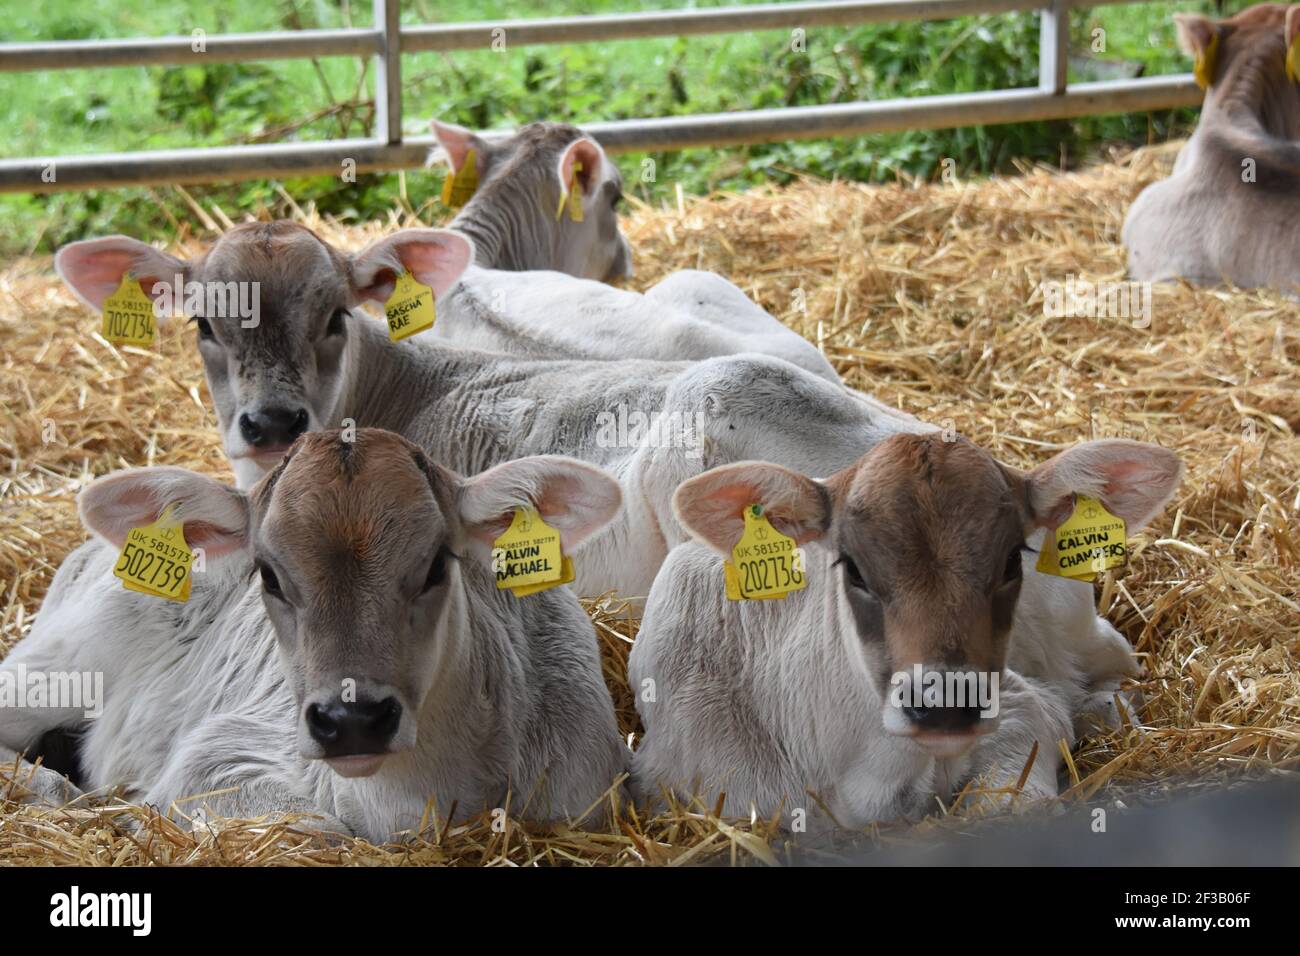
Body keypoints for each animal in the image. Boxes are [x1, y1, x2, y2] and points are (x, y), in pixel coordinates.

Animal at [0, 429, 629, 842]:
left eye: (435, 565)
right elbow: (323, 827)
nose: (352, 719)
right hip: (58, 666)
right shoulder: (214, 757)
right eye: (269, 574)